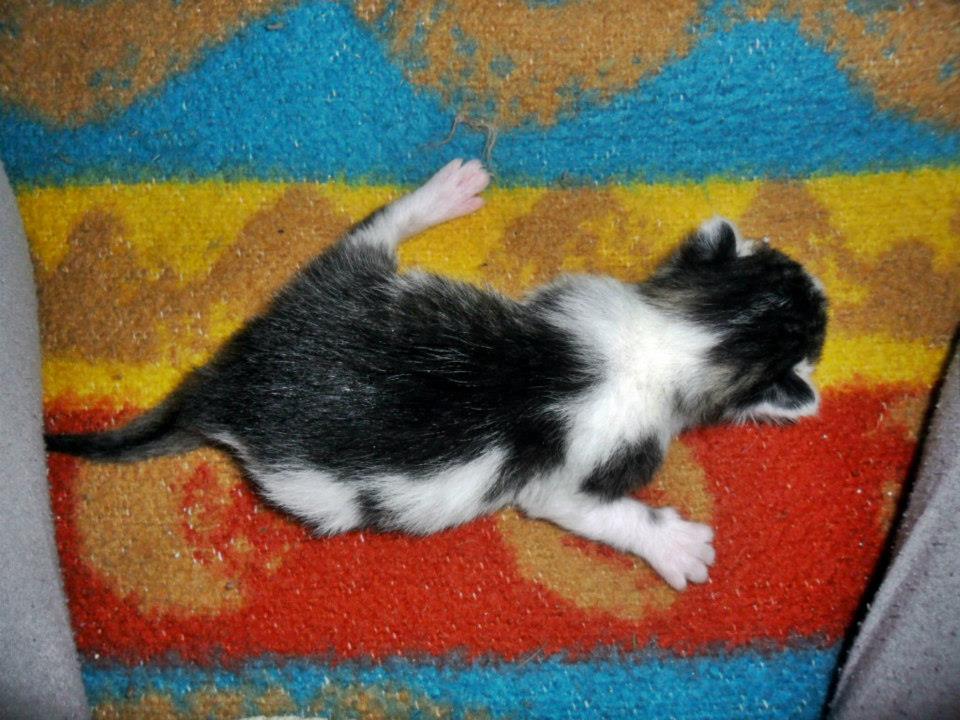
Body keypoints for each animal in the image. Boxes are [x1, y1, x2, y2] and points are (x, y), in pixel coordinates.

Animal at [46, 158, 827, 591]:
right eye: (816, 331)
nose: (822, 293)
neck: (675, 332)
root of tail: (230, 383)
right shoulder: (569, 477)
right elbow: (598, 511)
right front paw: (674, 546)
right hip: (318, 492)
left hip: (341, 281)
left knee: (368, 232)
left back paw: (442, 194)